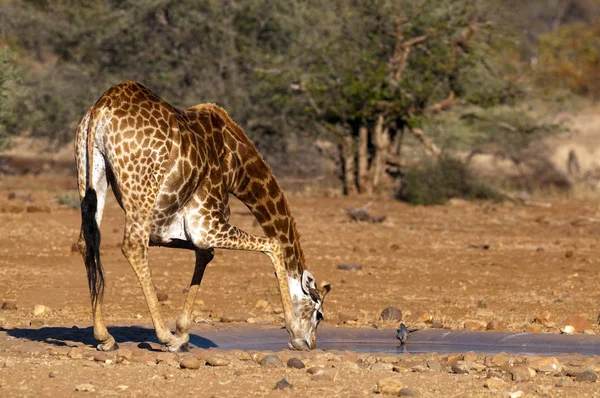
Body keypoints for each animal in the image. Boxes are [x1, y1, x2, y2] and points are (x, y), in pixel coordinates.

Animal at [74, 80, 332, 352]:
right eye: (319, 315)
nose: (309, 343)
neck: (235, 168)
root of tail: (102, 109)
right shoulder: (207, 224)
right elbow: (274, 245)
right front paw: (291, 327)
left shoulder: (180, 231)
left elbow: (206, 256)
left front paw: (183, 333)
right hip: (140, 188)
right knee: (133, 246)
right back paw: (164, 336)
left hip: (90, 172)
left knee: (87, 241)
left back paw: (105, 336)